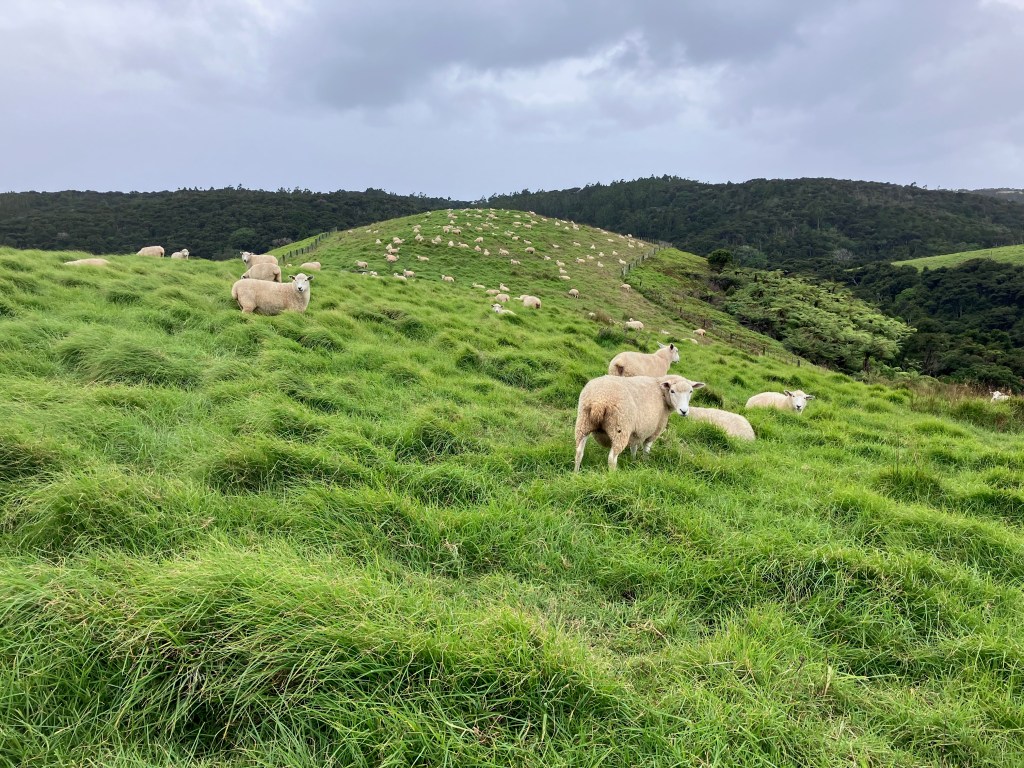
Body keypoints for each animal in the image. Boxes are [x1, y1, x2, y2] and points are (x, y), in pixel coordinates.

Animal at [574, 374, 705, 471]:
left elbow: (634, 447)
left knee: (579, 452)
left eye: (691, 391)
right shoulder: (654, 430)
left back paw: (576, 473)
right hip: (620, 429)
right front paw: (646, 461)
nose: (684, 411)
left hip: (583, 424)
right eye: (672, 391)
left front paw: (633, 460)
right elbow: (646, 448)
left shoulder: (636, 431)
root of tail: (600, 400)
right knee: (612, 458)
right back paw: (612, 476)